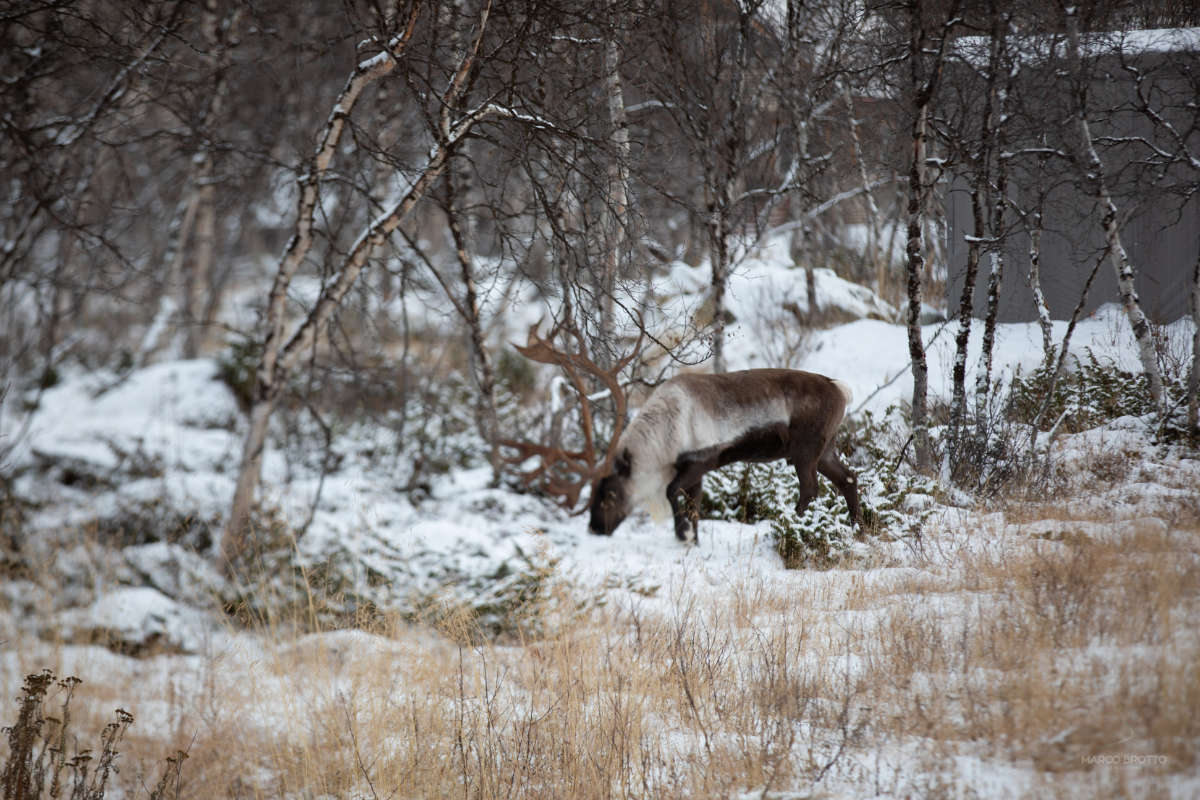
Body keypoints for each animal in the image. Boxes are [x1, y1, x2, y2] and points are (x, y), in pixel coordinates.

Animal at [499, 322, 860, 546]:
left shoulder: (701, 459)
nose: (596, 528)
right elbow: (692, 505)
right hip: (826, 448)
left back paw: (791, 528)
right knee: (849, 478)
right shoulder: (693, 471)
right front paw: (692, 541)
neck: (663, 434)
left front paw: (684, 537)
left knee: (811, 488)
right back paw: (858, 529)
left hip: (805, 450)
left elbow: (674, 495)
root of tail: (842, 389)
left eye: (611, 492)